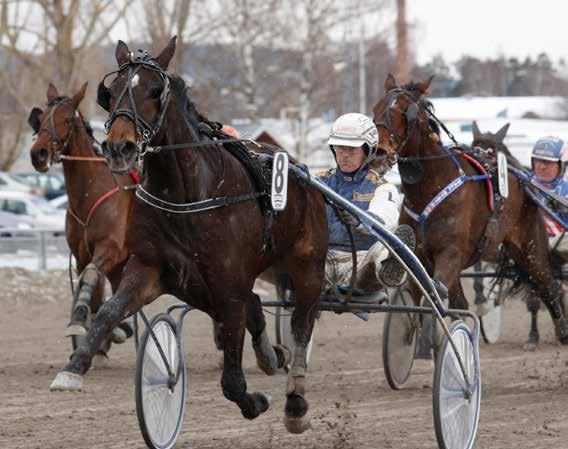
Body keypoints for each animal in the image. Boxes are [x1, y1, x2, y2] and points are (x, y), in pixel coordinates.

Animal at [28, 83, 138, 356]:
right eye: (42, 120)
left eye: (67, 119)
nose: (39, 154)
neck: (91, 194)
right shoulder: (81, 254)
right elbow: (89, 287)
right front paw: (92, 328)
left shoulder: (109, 248)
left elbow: (90, 277)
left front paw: (80, 321)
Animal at [48, 39, 328, 434]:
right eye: (111, 92)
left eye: (155, 90)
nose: (120, 148)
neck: (188, 193)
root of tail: (298, 167)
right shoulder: (150, 268)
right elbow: (108, 311)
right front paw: (74, 367)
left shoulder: (226, 283)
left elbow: (232, 379)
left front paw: (255, 401)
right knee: (254, 305)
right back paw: (269, 355)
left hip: (307, 266)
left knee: (302, 324)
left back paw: (295, 402)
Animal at [372, 73, 568, 348]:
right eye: (376, 109)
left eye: (404, 111)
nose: (377, 151)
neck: (431, 188)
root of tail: (524, 180)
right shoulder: (420, 257)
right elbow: (428, 300)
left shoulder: (451, 254)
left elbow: (438, 298)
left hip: (529, 248)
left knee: (548, 285)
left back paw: (561, 331)